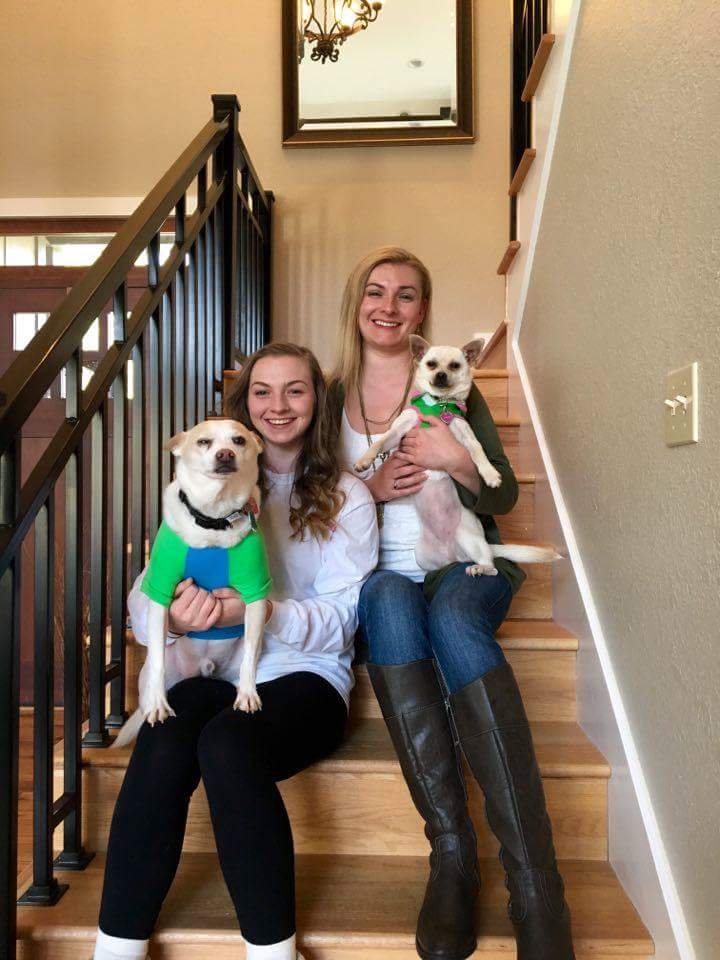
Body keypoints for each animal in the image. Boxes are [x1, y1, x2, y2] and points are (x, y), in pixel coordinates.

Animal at [114, 420, 272, 752]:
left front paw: (248, 694)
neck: (213, 519)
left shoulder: (255, 595)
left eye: (239, 440)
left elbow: (250, 657)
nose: (225, 454)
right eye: (203, 442)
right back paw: (151, 703)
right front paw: (158, 705)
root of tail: (206, 668)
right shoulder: (160, 594)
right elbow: (158, 658)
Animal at [354, 336, 556, 572]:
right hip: (422, 555)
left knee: (491, 566)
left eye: (454, 366)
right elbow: (381, 442)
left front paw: (490, 475)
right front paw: (363, 461)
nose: (441, 374)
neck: (439, 404)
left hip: (468, 539)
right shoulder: (400, 431)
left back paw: (479, 568)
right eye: (431, 364)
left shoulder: (465, 434)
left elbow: (478, 451)